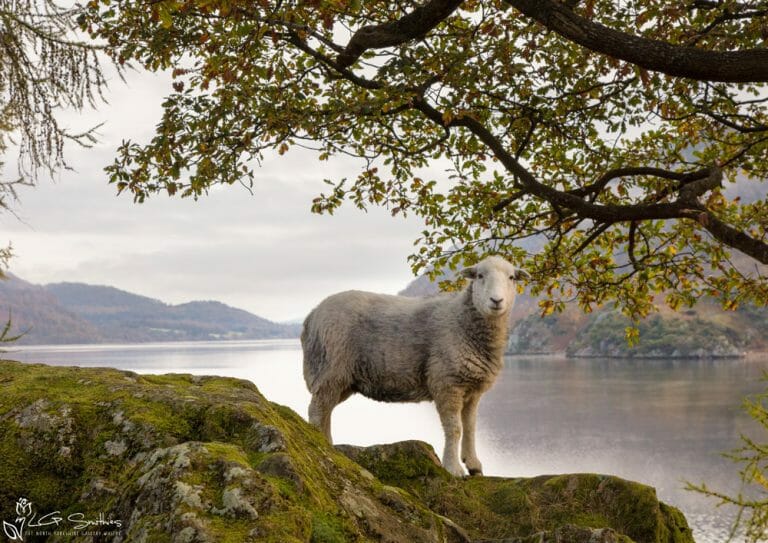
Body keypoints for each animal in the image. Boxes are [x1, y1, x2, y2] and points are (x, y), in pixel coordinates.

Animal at [301, 255, 526, 476]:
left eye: (512, 277)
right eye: (480, 276)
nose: (496, 300)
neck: (463, 321)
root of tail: (312, 314)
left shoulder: (472, 389)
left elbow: (470, 427)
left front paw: (473, 464)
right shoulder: (446, 383)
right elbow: (455, 428)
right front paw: (453, 468)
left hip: (343, 379)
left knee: (326, 410)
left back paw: (329, 446)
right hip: (330, 368)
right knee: (317, 410)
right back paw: (319, 445)